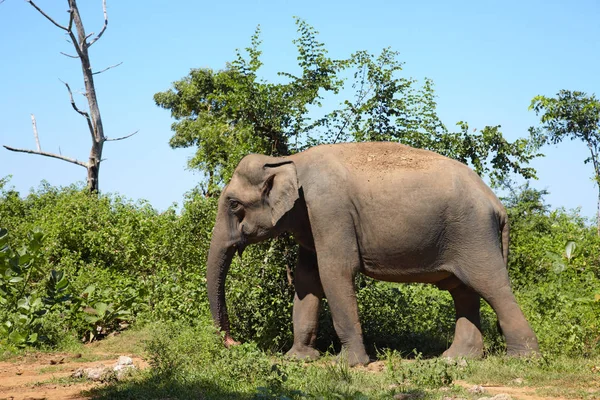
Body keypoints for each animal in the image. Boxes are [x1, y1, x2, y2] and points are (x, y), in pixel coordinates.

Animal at [206, 141, 540, 366]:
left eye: (233, 204)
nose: (233, 342)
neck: (286, 161)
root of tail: (497, 204)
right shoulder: (312, 221)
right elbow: (306, 281)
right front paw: (299, 358)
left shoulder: (329, 209)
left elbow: (335, 272)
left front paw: (349, 364)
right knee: (463, 290)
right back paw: (456, 359)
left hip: (474, 233)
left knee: (492, 286)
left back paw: (522, 359)